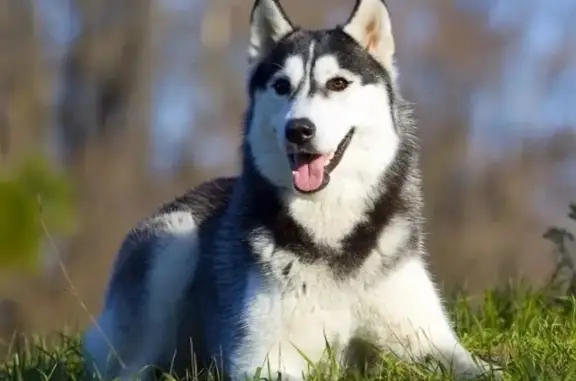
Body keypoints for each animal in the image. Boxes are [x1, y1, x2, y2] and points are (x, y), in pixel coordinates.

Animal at [82, 0, 500, 380]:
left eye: (338, 83)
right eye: (282, 86)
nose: (298, 129)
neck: (330, 231)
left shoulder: (430, 342)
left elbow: (485, 369)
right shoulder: (262, 357)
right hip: (173, 242)